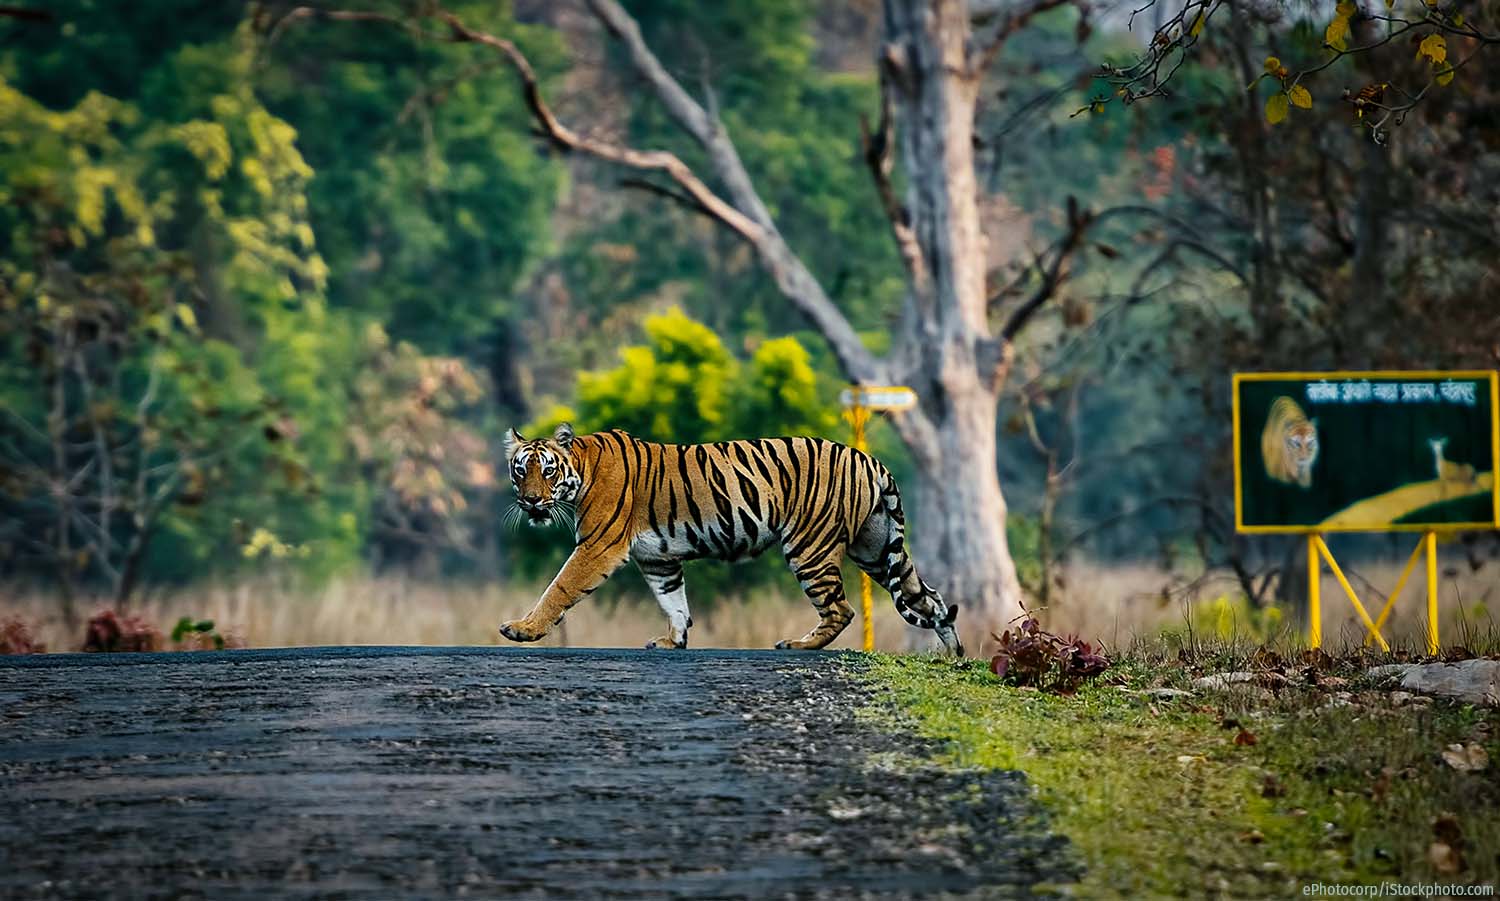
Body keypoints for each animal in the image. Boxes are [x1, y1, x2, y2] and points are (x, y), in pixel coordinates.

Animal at [500, 423, 962, 655]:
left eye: (548, 470)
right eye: (521, 470)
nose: (530, 501)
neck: (581, 470)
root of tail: (868, 458)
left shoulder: (599, 546)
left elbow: (559, 588)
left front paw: (523, 629)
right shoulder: (658, 560)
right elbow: (674, 602)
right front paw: (674, 641)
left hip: (809, 547)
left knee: (841, 609)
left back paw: (798, 644)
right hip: (876, 548)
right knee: (930, 597)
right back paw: (953, 653)